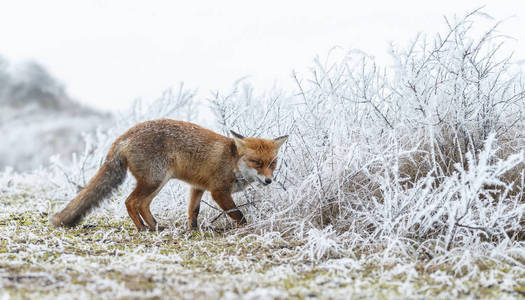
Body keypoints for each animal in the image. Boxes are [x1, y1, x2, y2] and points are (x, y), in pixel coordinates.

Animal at [50, 118, 286, 231]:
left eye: (272, 163)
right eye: (257, 162)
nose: (269, 180)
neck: (231, 161)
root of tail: (125, 134)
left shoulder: (197, 187)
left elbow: (193, 211)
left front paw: (192, 230)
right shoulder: (218, 191)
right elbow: (239, 215)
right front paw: (248, 229)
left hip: (158, 182)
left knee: (142, 204)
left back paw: (154, 226)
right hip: (154, 180)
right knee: (130, 202)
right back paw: (142, 229)